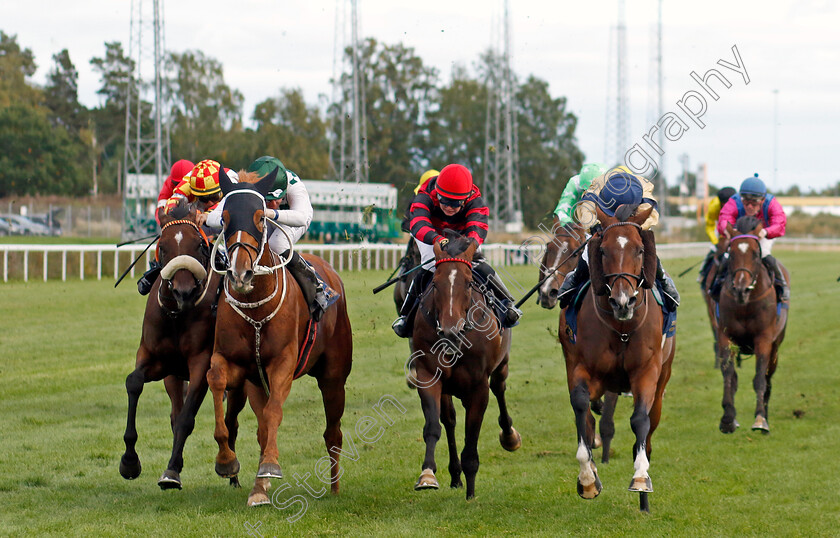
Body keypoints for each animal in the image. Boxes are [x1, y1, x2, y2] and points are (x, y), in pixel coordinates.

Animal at [120, 203, 248, 488]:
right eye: (164, 246)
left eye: (199, 245)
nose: (184, 291)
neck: (177, 316)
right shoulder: (156, 359)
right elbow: (134, 383)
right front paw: (130, 461)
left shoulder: (201, 363)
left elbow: (187, 420)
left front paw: (171, 471)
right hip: (174, 378)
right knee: (176, 412)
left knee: (231, 421)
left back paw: (232, 472)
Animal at [208, 170, 356, 504]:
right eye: (224, 218)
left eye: (260, 217)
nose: (240, 274)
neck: (257, 309)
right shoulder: (236, 365)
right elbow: (217, 381)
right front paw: (227, 461)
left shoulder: (284, 363)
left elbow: (275, 411)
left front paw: (271, 466)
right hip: (257, 383)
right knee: (263, 427)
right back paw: (259, 487)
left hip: (334, 376)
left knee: (333, 432)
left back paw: (335, 487)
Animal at [406, 233, 520, 498]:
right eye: (435, 283)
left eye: (468, 283)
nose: (450, 332)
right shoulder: (429, 375)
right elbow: (433, 426)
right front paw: (428, 474)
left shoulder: (479, 386)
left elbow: (472, 435)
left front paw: (471, 494)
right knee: (449, 420)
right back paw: (455, 474)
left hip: (501, 365)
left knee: (499, 390)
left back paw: (509, 436)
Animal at [556, 205, 676, 510]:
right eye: (603, 250)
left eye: (639, 250)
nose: (623, 301)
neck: (621, 328)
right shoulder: (581, 368)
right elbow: (581, 407)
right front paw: (587, 478)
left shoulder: (647, 371)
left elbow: (640, 420)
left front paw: (641, 477)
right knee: (587, 417)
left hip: (662, 379)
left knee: (650, 425)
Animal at [716, 214, 788, 432]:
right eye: (731, 254)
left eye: (756, 254)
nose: (741, 289)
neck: (745, 305)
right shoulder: (725, 336)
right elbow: (728, 375)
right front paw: (728, 418)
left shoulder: (763, 339)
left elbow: (759, 379)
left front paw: (760, 419)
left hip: (775, 346)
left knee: (768, 378)